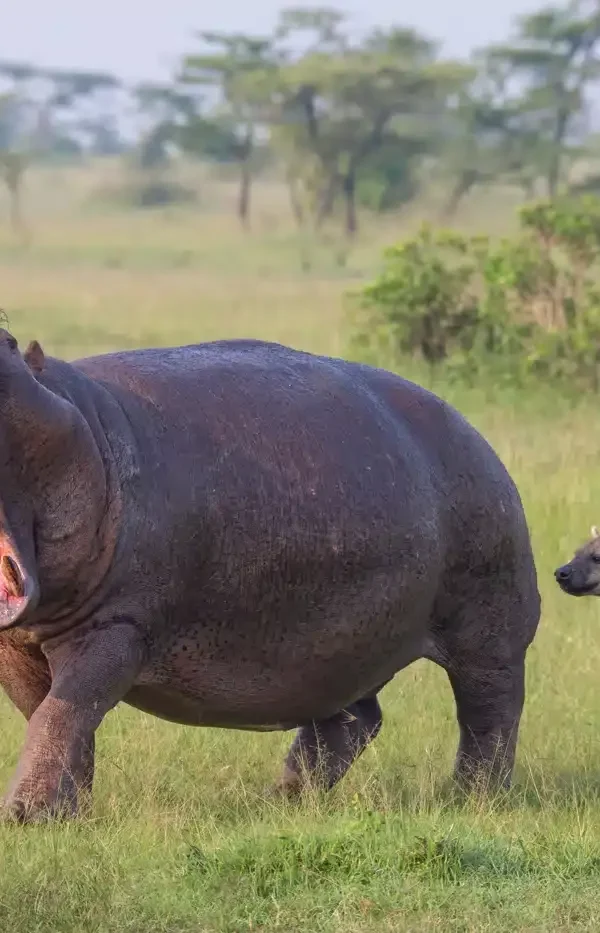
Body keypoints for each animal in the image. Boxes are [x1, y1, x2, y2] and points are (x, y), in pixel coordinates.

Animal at [0, 331, 540, 822]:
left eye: (9, 343)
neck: (83, 420)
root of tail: (472, 430)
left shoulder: (118, 625)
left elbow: (66, 709)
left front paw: (25, 816)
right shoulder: (16, 648)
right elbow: (56, 716)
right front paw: (65, 814)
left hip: (488, 624)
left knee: (489, 709)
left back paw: (473, 798)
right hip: (344, 645)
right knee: (353, 719)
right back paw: (283, 800)